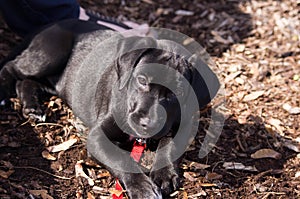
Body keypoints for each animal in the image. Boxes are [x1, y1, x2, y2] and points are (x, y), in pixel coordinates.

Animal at [0, 19, 220, 198]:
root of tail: (53, 24)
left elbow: (170, 145)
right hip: (51, 53)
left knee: (27, 82)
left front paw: (165, 174)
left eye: (179, 91)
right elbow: (121, 160)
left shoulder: (182, 125)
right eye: (142, 80)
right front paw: (144, 189)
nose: (148, 124)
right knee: (12, 68)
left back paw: (32, 108)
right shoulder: (98, 137)